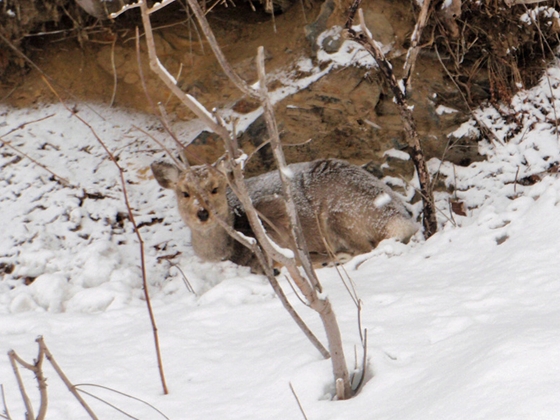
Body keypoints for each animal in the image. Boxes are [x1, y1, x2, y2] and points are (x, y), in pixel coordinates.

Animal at [151, 158, 418, 272]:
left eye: (215, 188)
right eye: (184, 193)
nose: (203, 213)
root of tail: (401, 217)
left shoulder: (274, 215)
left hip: (339, 214)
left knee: (365, 248)